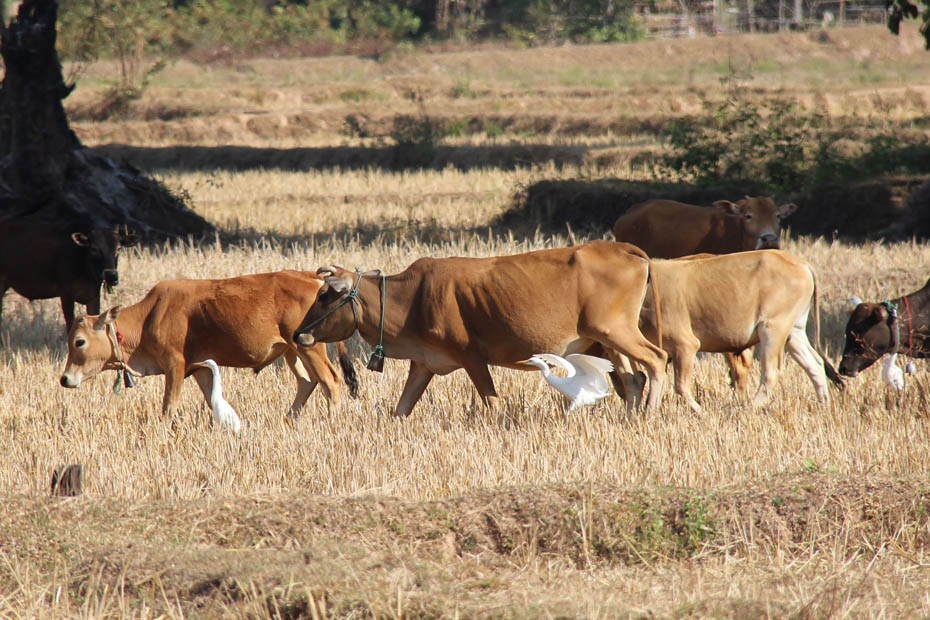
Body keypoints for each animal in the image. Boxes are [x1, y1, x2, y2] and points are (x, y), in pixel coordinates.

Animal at [57, 270, 356, 416]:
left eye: (79, 342)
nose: (65, 379)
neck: (148, 317)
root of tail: (314, 277)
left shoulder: (175, 366)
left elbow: (169, 406)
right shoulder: (200, 368)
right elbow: (213, 400)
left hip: (309, 347)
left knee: (331, 382)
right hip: (292, 351)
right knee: (307, 382)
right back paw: (289, 419)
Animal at [294, 240, 664, 418]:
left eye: (324, 295)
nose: (299, 334)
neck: (412, 298)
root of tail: (620, 247)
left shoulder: (472, 357)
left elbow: (493, 403)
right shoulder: (424, 363)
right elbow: (401, 409)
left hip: (615, 332)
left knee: (656, 361)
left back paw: (648, 415)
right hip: (605, 340)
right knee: (633, 379)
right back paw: (631, 418)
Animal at [632, 252, 840, 412]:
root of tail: (800, 263)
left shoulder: (685, 345)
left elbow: (680, 386)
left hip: (772, 329)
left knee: (770, 373)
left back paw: (746, 409)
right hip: (794, 333)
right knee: (815, 364)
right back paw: (825, 406)